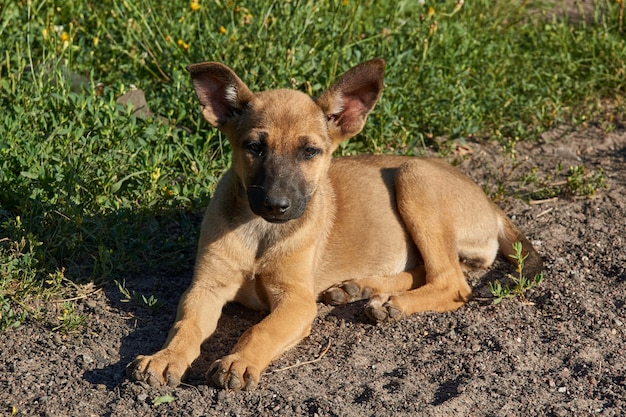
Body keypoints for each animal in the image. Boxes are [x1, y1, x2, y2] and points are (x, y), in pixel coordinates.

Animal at [127, 58, 540, 390]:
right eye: (254, 147)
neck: (260, 233)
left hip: (414, 178)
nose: (277, 205)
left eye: (310, 151)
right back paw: (362, 287)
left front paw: (238, 361)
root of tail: (490, 203)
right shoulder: (206, 287)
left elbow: (260, 330)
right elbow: (186, 326)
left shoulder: (296, 300)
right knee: (430, 270)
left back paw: (391, 303)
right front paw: (166, 357)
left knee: (451, 282)